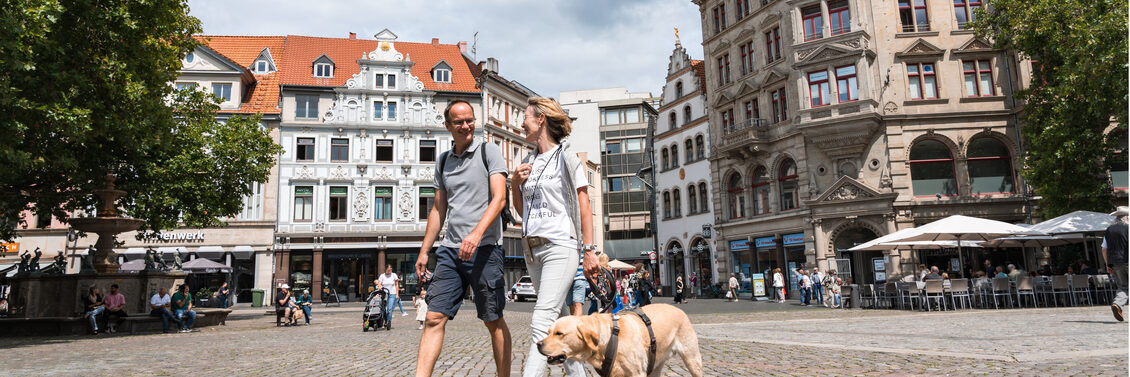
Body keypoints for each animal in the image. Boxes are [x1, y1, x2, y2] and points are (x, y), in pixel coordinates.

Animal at [535, 302, 700, 376]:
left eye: (559, 333)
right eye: (548, 332)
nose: (538, 344)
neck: (609, 340)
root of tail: (677, 308)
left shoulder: (637, 373)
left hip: (692, 359)